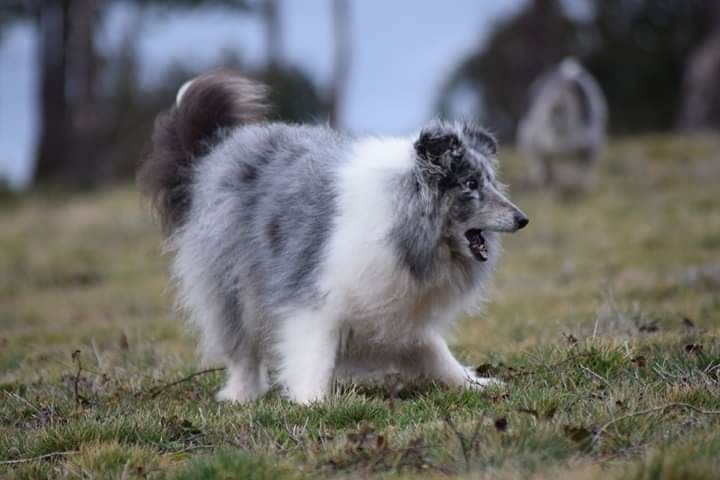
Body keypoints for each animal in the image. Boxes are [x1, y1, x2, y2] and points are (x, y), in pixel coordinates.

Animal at [138, 69, 524, 404]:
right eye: (471, 184)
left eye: (491, 181)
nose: (523, 219)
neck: (400, 219)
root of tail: (215, 150)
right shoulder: (314, 300)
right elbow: (314, 354)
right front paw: (312, 401)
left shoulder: (394, 309)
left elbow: (435, 352)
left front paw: (474, 383)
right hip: (232, 285)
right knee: (242, 349)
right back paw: (242, 394)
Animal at [516, 59, 608, 194]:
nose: (555, 108)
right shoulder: (536, 144)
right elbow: (542, 165)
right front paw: (543, 181)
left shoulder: (590, 146)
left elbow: (585, 170)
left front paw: (585, 186)